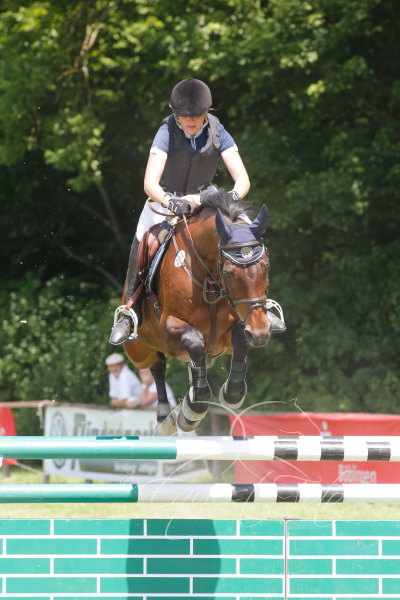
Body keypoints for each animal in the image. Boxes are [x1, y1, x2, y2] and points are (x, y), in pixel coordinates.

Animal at [123, 189, 272, 434]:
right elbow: (193, 341)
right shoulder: (170, 327)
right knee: (157, 365)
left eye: (266, 267)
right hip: (139, 349)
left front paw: (230, 394)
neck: (209, 278)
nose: (260, 332)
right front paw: (192, 409)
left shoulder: (231, 331)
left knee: (189, 364)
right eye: (229, 273)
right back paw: (166, 419)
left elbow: (240, 337)